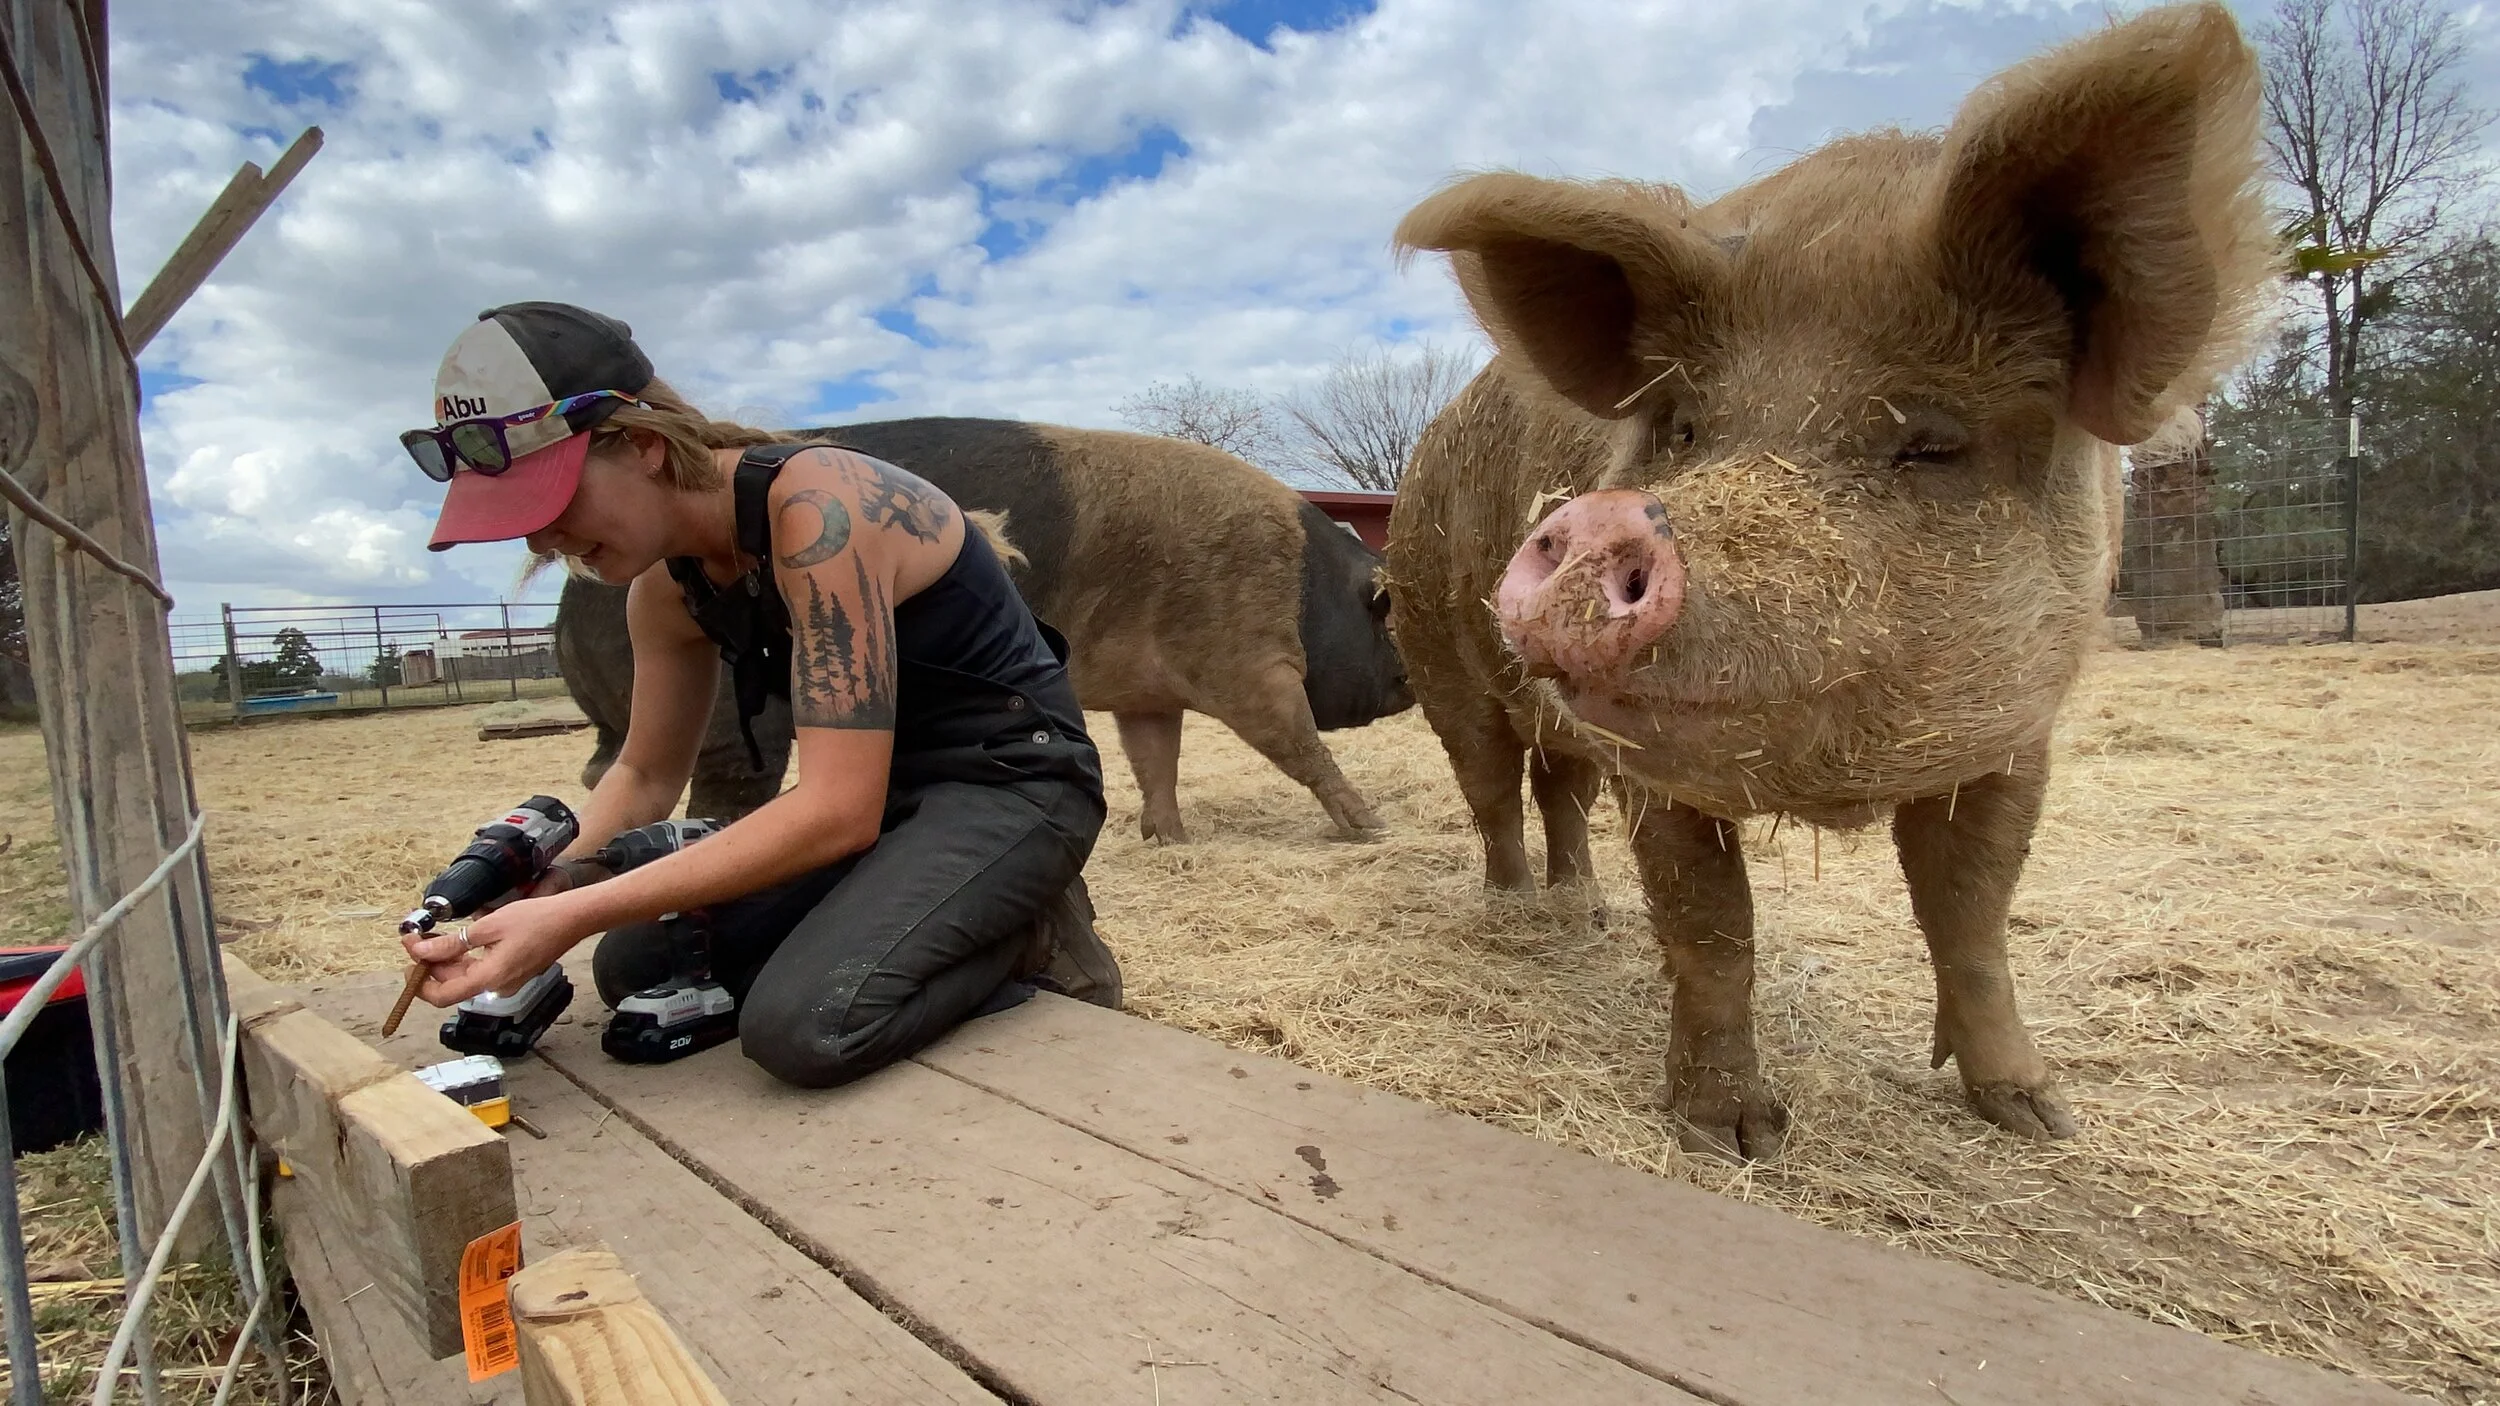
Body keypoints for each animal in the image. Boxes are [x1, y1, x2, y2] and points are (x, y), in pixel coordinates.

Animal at [554, 418, 1414, 839]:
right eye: (1388, 623)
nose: (1411, 687)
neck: (1302, 583)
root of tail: (571, 603)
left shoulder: (1148, 687)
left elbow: (1155, 759)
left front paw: (1169, 839)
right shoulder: (1246, 659)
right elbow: (1299, 745)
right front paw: (1372, 829)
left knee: (603, 774)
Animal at [1383, 3, 2275, 1159]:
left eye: (1932, 443)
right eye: (1684, 428)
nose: (1601, 518)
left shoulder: (2016, 737)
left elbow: (1971, 914)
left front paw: (2038, 1118)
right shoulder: (1654, 760)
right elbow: (1714, 922)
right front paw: (1736, 1137)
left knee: (1556, 790)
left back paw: (1586, 917)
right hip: (1433, 646)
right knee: (1490, 785)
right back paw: (1514, 916)